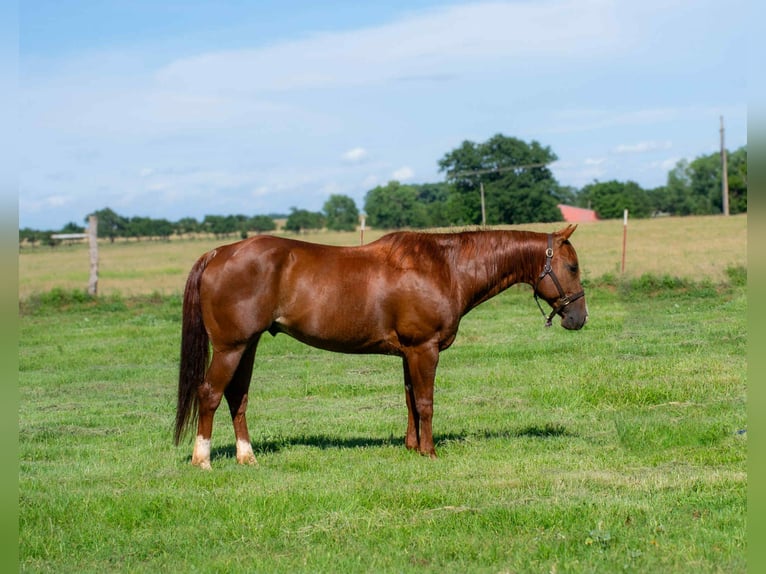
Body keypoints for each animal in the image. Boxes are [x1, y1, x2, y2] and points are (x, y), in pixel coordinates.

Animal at [174, 225, 587, 469]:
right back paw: (202, 460)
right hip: (231, 347)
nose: (578, 317)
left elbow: (409, 400)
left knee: (237, 397)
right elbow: (425, 401)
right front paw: (430, 452)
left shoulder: (409, 352)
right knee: (210, 393)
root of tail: (218, 254)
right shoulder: (424, 348)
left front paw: (411, 447)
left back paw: (247, 457)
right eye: (572, 267)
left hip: (248, 345)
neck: (446, 266)